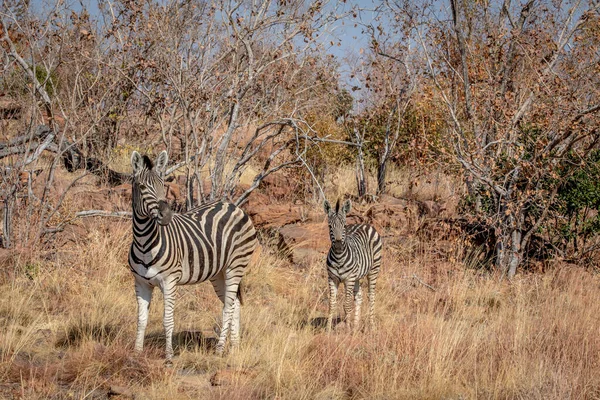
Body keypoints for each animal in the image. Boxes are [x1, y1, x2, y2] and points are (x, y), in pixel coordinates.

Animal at [130, 151, 256, 362]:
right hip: (219, 273)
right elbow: (141, 319)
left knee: (228, 307)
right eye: (141, 186)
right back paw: (234, 347)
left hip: (236, 265)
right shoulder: (141, 283)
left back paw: (220, 349)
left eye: (163, 184)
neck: (144, 242)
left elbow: (168, 320)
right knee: (235, 304)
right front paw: (136, 353)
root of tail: (233, 206)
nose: (166, 215)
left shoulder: (169, 281)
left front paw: (169, 357)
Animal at [326, 198, 382, 332]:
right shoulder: (332, 278)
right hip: (358, 276)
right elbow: (331, 303)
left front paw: (347, 330)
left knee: (371, 296)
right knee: (359, 296)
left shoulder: (349, 279)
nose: (338, 245)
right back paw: (356, 327)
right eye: (330, 226)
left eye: (344, 225)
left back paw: (371, 326)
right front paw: (328, 330)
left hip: (374, 269)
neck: (339, 258)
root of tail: (365, 224)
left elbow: (347, 305)